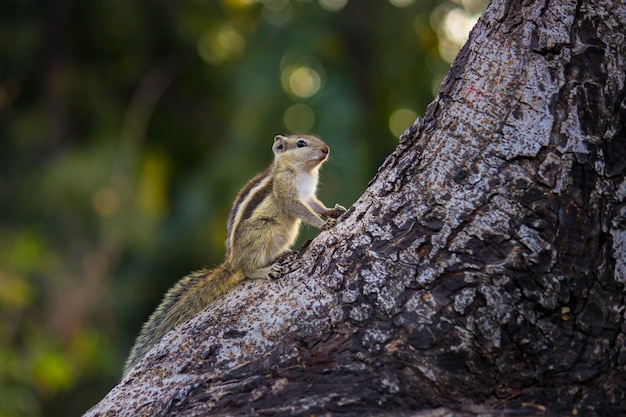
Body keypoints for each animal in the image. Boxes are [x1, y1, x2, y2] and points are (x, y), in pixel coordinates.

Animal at [123, 135, 344, 376]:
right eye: (301, 143)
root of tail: (232, 262)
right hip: (265, 229)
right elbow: (302, 210)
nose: (325, 149)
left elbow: (316, 205)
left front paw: (333, 211)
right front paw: (323, 224)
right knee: (247, 270)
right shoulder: (287, 194)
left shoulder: (309, 195)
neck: (303, 171)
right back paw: (265, 270)